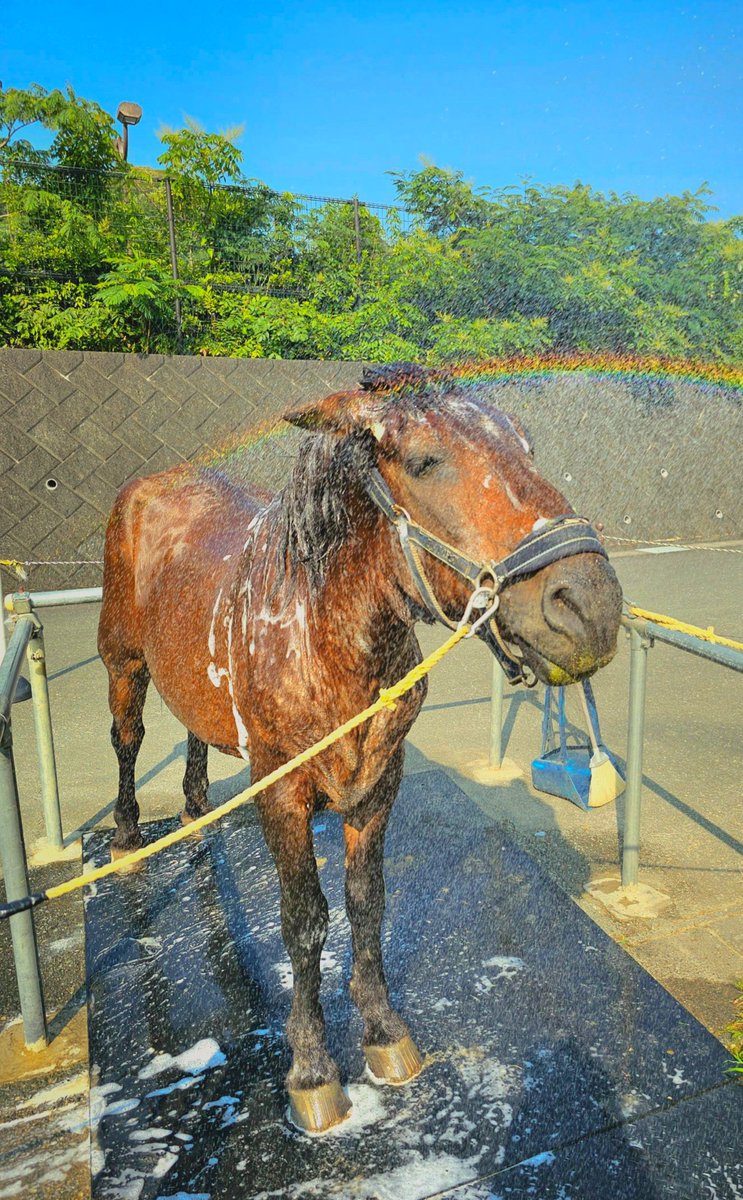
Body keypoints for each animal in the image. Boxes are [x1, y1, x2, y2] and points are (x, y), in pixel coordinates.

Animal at [98, 363, 622, 1133]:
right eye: (424, 462)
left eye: (526, 445)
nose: (589, 606)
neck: (323, 637)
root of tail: (152, 483)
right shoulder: (281, 790)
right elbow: (305, 922)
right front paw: (313, 1071)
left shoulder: (378, 782)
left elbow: (367, 904)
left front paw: (383, 1036)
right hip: (124, 661)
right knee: (129, 739)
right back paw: (128, 835)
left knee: (193, 729)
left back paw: (194, 808)